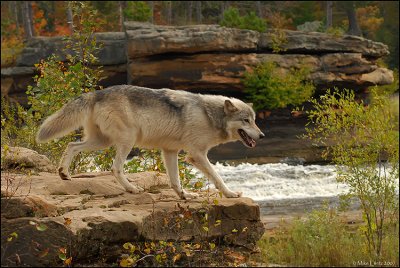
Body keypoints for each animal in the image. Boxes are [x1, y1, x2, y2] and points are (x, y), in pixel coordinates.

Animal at [35, 85, 266, 199]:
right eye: (246, 120)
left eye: (255, 120)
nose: (262, 135)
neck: (210, 116)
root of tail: (96, 93)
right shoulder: (197, 155)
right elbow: (218, 178)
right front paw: (231, 194)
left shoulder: (170, 152)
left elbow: (175, 180)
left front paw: (184, 196)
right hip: (126, 141)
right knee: (115, 168)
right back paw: (132, 189)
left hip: (101, 142)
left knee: (72, 145)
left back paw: (64, 174)